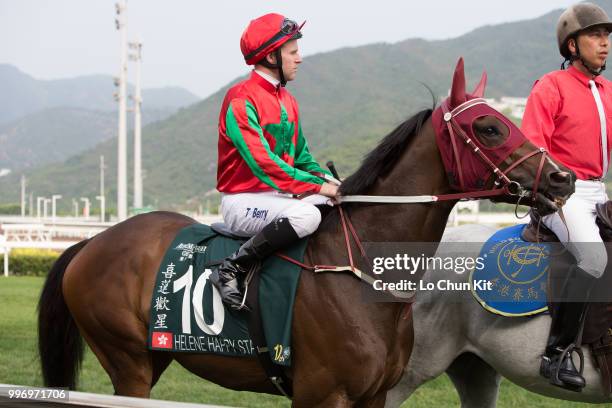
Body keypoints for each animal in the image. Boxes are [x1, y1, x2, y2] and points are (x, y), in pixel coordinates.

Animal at [37, 59, 572, 406]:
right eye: (488, 128)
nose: (562, 178)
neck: (364, 274)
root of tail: (91, 242)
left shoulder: (373, 395)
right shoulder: (322, 393)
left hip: (154, 356)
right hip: (128, 360)